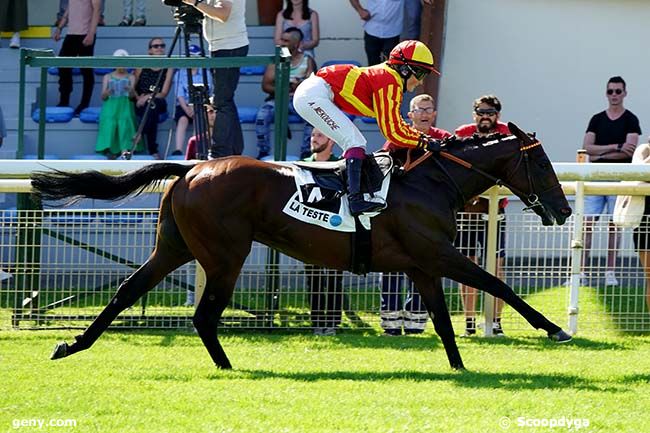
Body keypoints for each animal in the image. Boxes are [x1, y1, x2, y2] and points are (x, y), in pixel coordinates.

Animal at [34, 120, 572, 368]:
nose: (564, 210)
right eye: (542, 163)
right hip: (225, 254)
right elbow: (500, 287)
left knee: (127, 291)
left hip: (174, 247)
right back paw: (229, 366)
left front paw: (459, 367)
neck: (430, 182)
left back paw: (71, 345)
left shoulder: (422, 264)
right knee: (204, 315)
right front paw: (554, 330)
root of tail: (191, 168)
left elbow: (441, 318)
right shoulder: (437, 254)